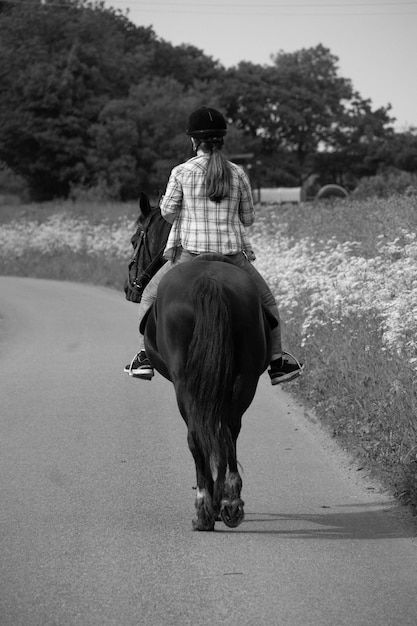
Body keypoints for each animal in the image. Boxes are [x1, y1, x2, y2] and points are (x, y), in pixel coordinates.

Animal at [134, 193, 276, 528]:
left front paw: (210, 498)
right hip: (244, 377)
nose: (129, 288)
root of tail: (210, 281)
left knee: (197, 433)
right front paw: (223, 497)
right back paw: (231, 503)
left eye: (135, 239)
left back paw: (204, 507)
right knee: (229, 428)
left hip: (186, 382)